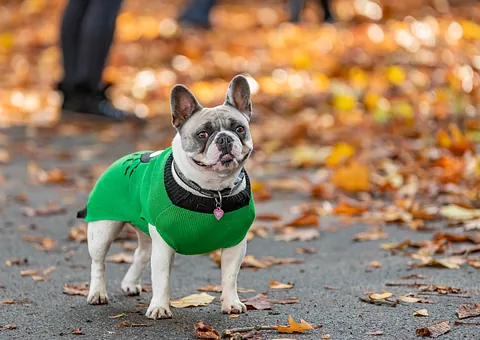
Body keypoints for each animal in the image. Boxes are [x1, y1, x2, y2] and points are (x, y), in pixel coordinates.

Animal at [79, 74, 256, 318]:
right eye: (202, 135)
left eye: (239, 129)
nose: (224, 138)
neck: (214, 191)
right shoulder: (163, 245)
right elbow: (161, 279)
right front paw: (160, 308)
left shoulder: (235, 243)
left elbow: (230, 276)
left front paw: (231, 303)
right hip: (103, 229)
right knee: (98, 262)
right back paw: (97, 293)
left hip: (145, 233)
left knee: (140, 254)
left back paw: (130, 283)